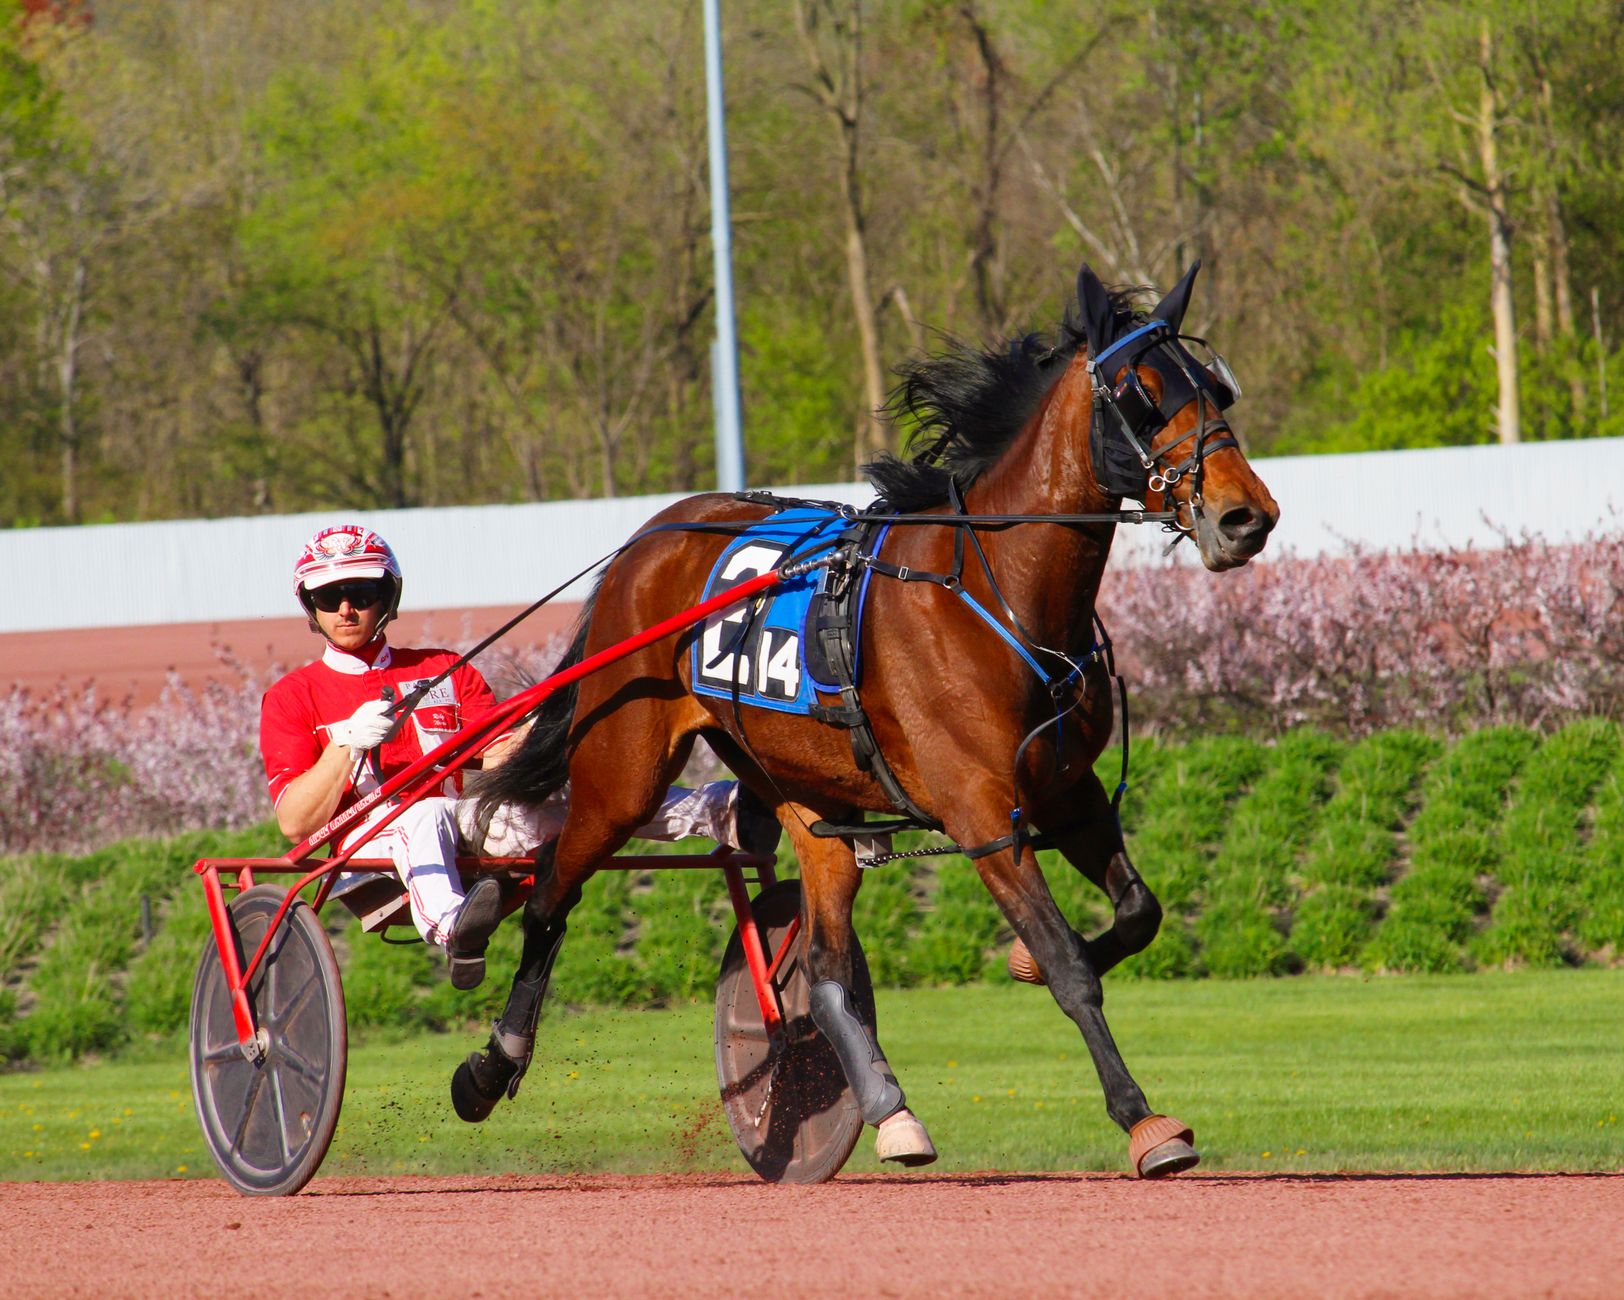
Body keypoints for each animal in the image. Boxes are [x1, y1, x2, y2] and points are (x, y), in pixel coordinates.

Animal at [457, 259, 1279, 1178]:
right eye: (1142, 394)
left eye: (1214, 387)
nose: (1246, 515)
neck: (996, 594)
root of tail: (651, 536)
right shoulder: (982, 812)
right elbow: (1069, 964)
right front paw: (1142, 1119)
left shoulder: (1068, 789)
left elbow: (1138, 913)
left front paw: (1024, 964)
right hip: (621, 772)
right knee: (549, 893)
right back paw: (490, 1056)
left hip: (806, 797)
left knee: (820, 970)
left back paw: (890, 1109)